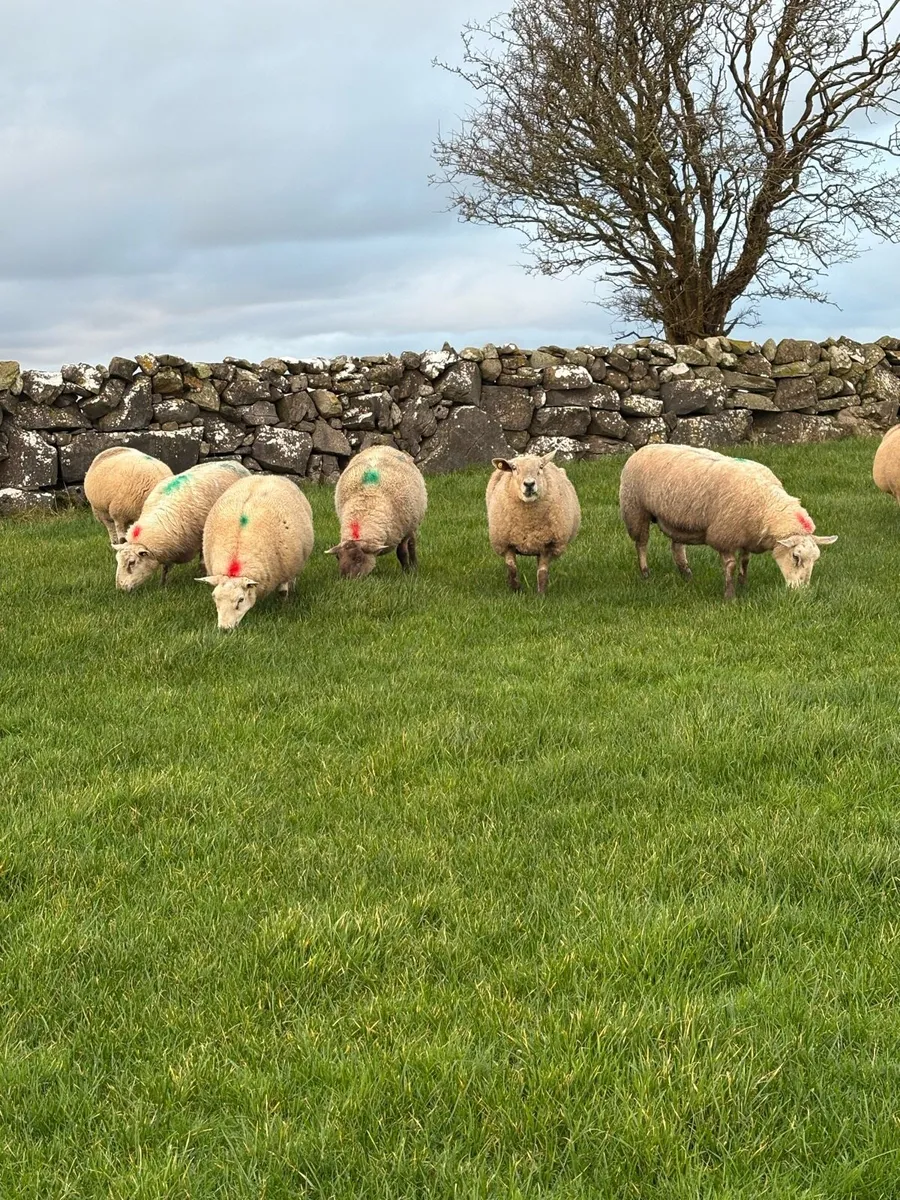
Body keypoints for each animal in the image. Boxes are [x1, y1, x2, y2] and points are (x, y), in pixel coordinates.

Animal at [114, 460, 250, 591]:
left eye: (132, 562)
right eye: (117, 561)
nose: (120, 588)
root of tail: (235, 462)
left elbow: (202, 561)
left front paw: (203, 577)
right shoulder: (168, 548)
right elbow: (166, 568)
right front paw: (163, 585)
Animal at [197, 475, 315, 630]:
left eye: (241, 600)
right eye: (214, 597)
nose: (225, 629)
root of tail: (267, 475)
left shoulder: (285, 570)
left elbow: (283, 592)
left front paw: (283, 607)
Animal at [325, 445, 427, 578]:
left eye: (358, 558)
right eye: (338, 557)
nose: (346, 579)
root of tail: (381, 445)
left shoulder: (403, 531)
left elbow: (402, 553)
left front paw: (406, 572)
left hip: (413, 523)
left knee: (412, 545)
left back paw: (414, 566)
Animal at [485, 450, 581, 594]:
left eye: (540, 467)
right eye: (514, 468)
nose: (529, 484)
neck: (528, 523)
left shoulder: (548, 544)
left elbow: (542, 573)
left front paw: (541, 595)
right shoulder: (505, 543)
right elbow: (512, 568)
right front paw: (515, 591)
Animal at [619, 444, 837, 599]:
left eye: (815, 559)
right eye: (795, 556)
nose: (801, 593)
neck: (767, 505)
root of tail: (644, 447)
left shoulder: (748, 535)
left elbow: (745, 561)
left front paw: (743, 583)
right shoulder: (724, 535)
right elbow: (730, 565)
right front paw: (730, 596)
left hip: (678, 520)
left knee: (677, 547)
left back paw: (686, 573)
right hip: (635, 509)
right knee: (641, 543)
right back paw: (645, 573)